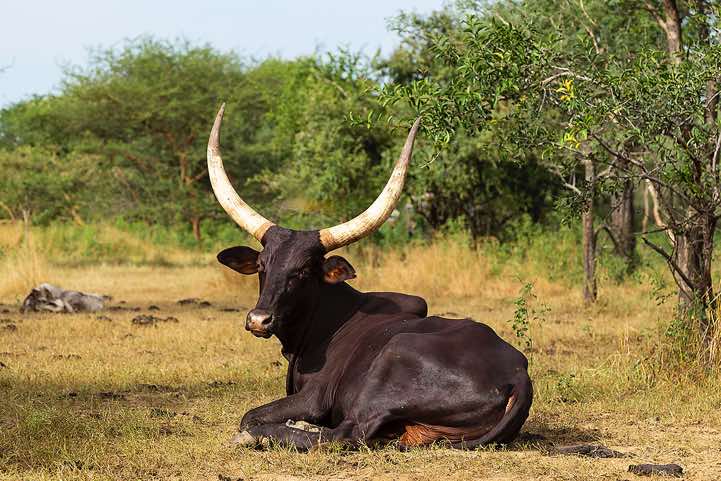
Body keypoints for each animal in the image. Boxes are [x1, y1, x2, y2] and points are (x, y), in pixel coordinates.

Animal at [207, 105, 532, 450]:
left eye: (304, 270)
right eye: (262, 265)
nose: (259, 320)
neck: (325, 324)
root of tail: (518, 375)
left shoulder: (314, 398)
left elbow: (251, 414)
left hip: (392, 358)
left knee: (346, 433)